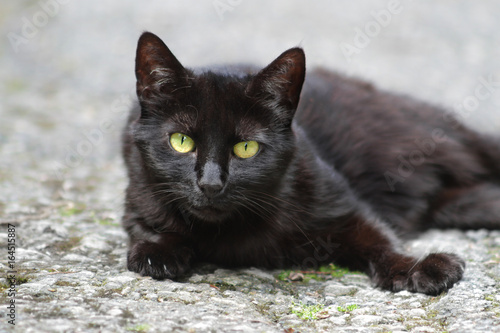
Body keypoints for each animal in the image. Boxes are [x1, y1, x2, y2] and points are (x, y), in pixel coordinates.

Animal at [123, 31, 500, 294]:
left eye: (246, 147)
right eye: (181, 142)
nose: (211, 184)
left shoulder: (343, 205)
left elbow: (379, 239)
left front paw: (419, 267)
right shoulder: (137, 194)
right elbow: (146, 225)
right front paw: (158, 251)